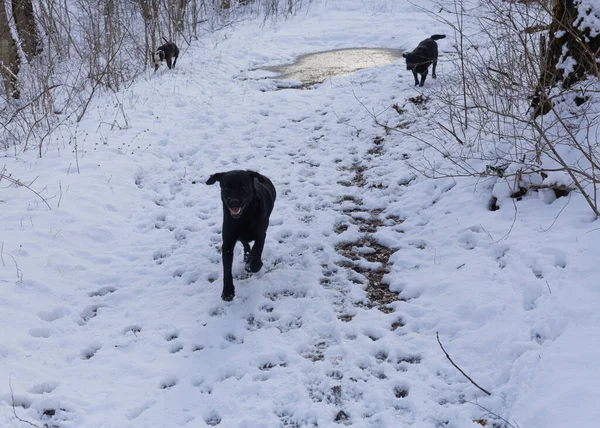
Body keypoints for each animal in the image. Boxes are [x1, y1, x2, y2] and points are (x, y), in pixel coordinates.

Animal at [206, 169, 276, 300]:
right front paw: (228, 291)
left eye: (243, 186)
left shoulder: (261, 234)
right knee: (245, 244)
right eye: (226, 187)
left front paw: (252, 265)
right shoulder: (227, 242)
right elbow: (227, 269)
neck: (244, 217)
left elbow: (257, 252)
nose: (233, 202)